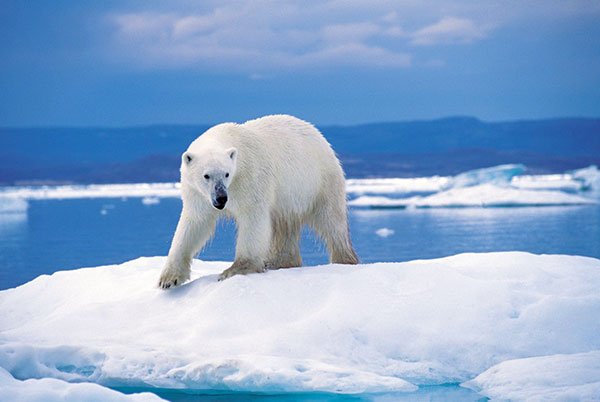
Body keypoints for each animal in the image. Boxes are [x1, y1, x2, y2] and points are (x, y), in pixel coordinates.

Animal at [157, 114, 358, 288]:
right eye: (206, 175)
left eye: (226, 174)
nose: (221, 198)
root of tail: (321, 137)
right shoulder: (197, 194)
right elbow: (194, 223)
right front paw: (168, 279)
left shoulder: (251, 177)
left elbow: (252, 219)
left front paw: (234, 270)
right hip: (288, 199)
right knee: (284, 227)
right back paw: (279, 261)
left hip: (318, 181)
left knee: (332, 222)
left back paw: (344, 260)